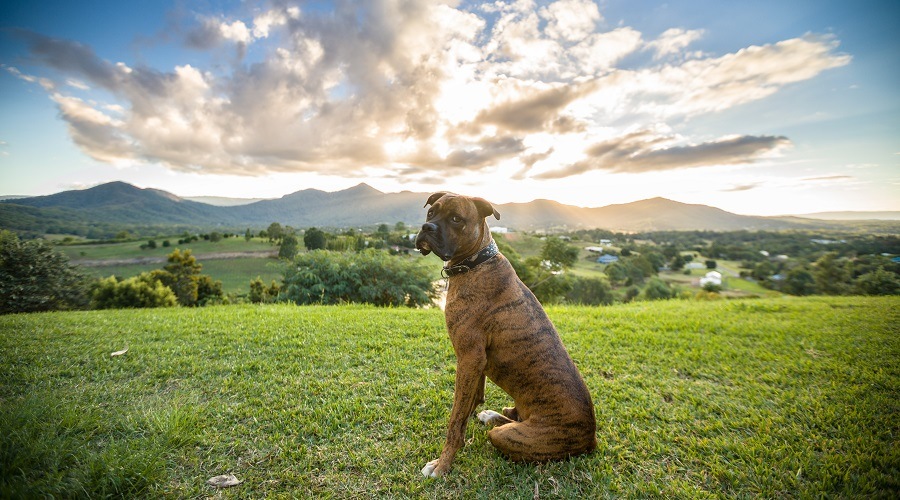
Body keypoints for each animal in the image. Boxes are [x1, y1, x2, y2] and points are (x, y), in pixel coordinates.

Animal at [414, 190, 596, 476]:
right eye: (431, 213)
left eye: (456, 219)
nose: (426, 227)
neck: (476, 262)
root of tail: (592, 437)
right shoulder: (476, 362)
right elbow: (471, 403)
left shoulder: (469, 358)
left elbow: (455, 420)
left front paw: (442, 464)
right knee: (512, 415)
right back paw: (492, 415)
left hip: (509, 436)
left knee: (506, 431)